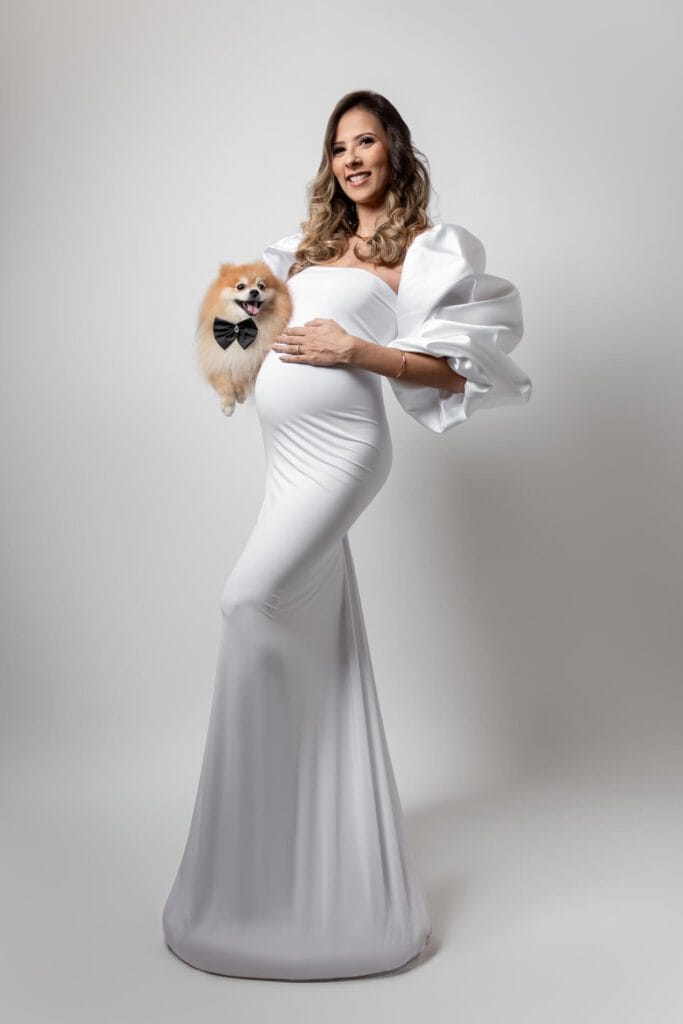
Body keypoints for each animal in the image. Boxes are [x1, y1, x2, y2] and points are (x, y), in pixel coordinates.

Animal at [195, 260, 293, 416]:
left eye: (261, 286)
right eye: (240, 286)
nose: (254, 292)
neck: (239, 327)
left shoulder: (252, 357)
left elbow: (240, 372)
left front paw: (239, 393)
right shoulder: (214, 354)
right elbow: (222, 379)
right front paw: (228, 404)